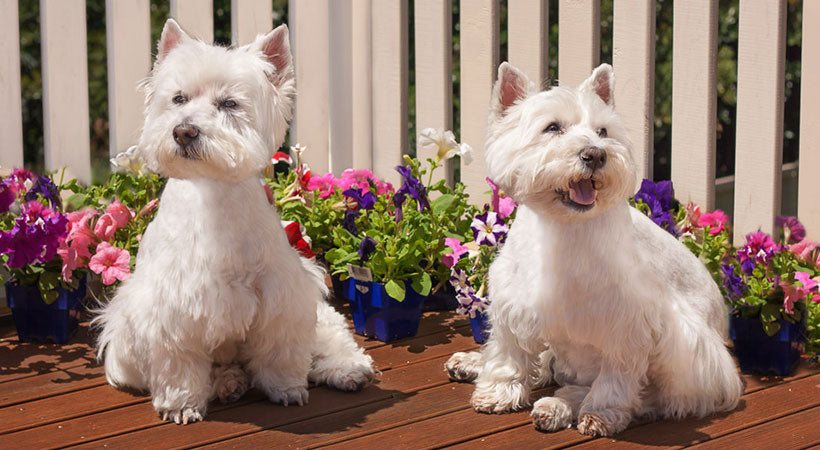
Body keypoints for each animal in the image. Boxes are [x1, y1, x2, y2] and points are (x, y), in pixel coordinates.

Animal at [95, 18, 374, 426]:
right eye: (178, 98)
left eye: (229, 103)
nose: (184, 131)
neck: (214, 194)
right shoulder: (170, 311)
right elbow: (180, 366)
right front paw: (182, 405)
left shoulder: (281, 296)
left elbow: (281, 352)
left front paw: (286, 389)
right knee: (223, 369)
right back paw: (229, 383)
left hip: (316, 313)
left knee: (328, 337)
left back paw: (349, 370)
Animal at [446, 62, 748, 436]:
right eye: (553, 127)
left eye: (602, 131)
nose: (596, 154)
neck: (564, 227)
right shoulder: (515, 304)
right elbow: (509, 353)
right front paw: (498, 392)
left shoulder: (629, 323)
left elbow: (616, 378)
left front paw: (600, 413)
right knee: (544, 364)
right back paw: (473, 364)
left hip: (689, 359)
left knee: (648, 397)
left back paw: (557, 406)